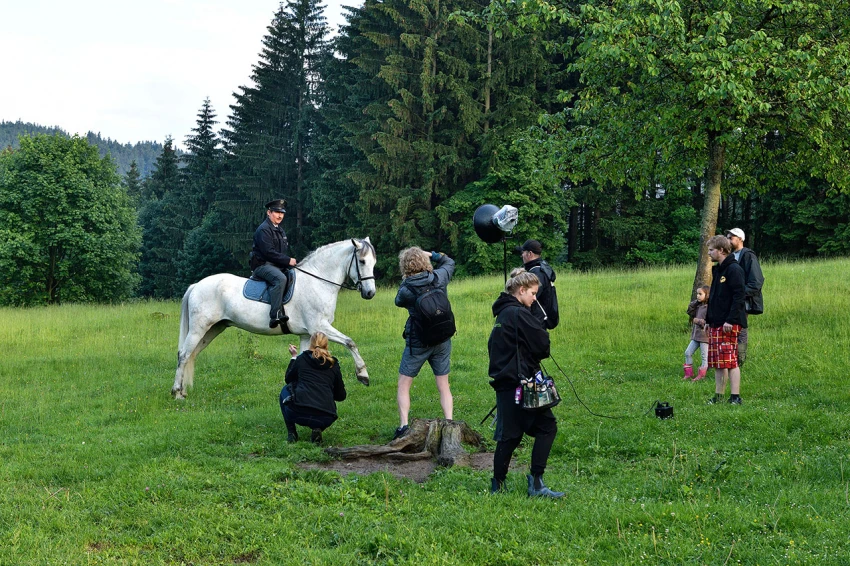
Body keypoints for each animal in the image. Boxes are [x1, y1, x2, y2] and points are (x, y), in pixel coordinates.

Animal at [171, 239, 376, 400]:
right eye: (362, 261)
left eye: (373, 262)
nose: (370, 293)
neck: (317, 282)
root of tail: (196, 285)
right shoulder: (320, 326)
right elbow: (350, 342)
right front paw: (363, 375)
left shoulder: (306, 334)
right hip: (198, 329)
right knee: (183, 355)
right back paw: (177, 393)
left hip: (213, 329)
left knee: (192, 354)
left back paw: (183, 391)